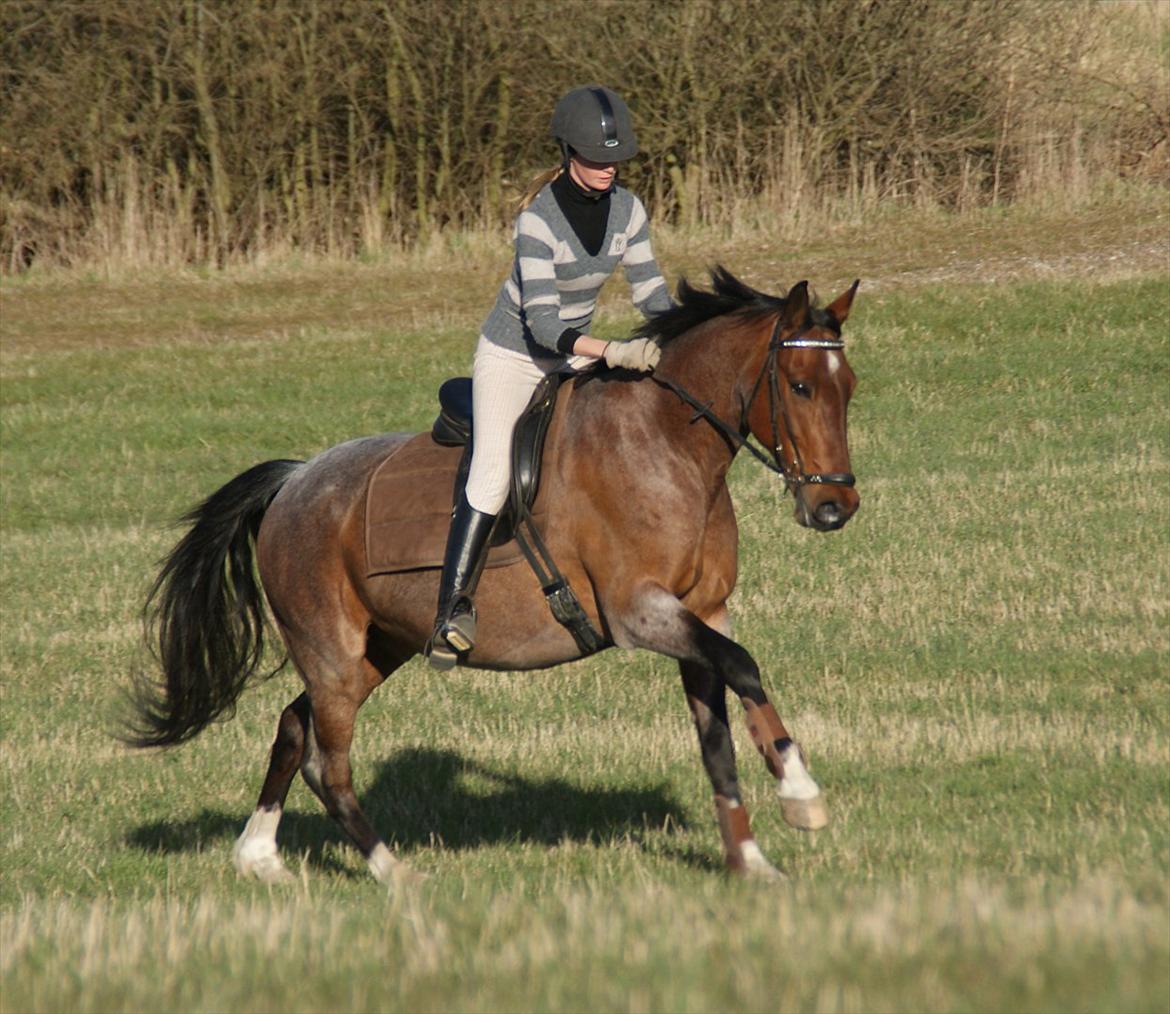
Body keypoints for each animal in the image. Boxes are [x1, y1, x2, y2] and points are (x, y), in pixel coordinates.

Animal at [130, 267, 861, 879]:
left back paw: (258, 856)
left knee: (291, 726)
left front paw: (750, 860)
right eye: (799, 386)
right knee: (327, 765)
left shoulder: (702, 613)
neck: (667, 443)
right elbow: (743, 666)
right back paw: (393, 873)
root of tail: (292, 481)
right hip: (330, 650)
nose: (835, 507)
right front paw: (801, 792)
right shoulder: (640, 611)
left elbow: (720, 734)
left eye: (848, 389)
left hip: (376, 647)